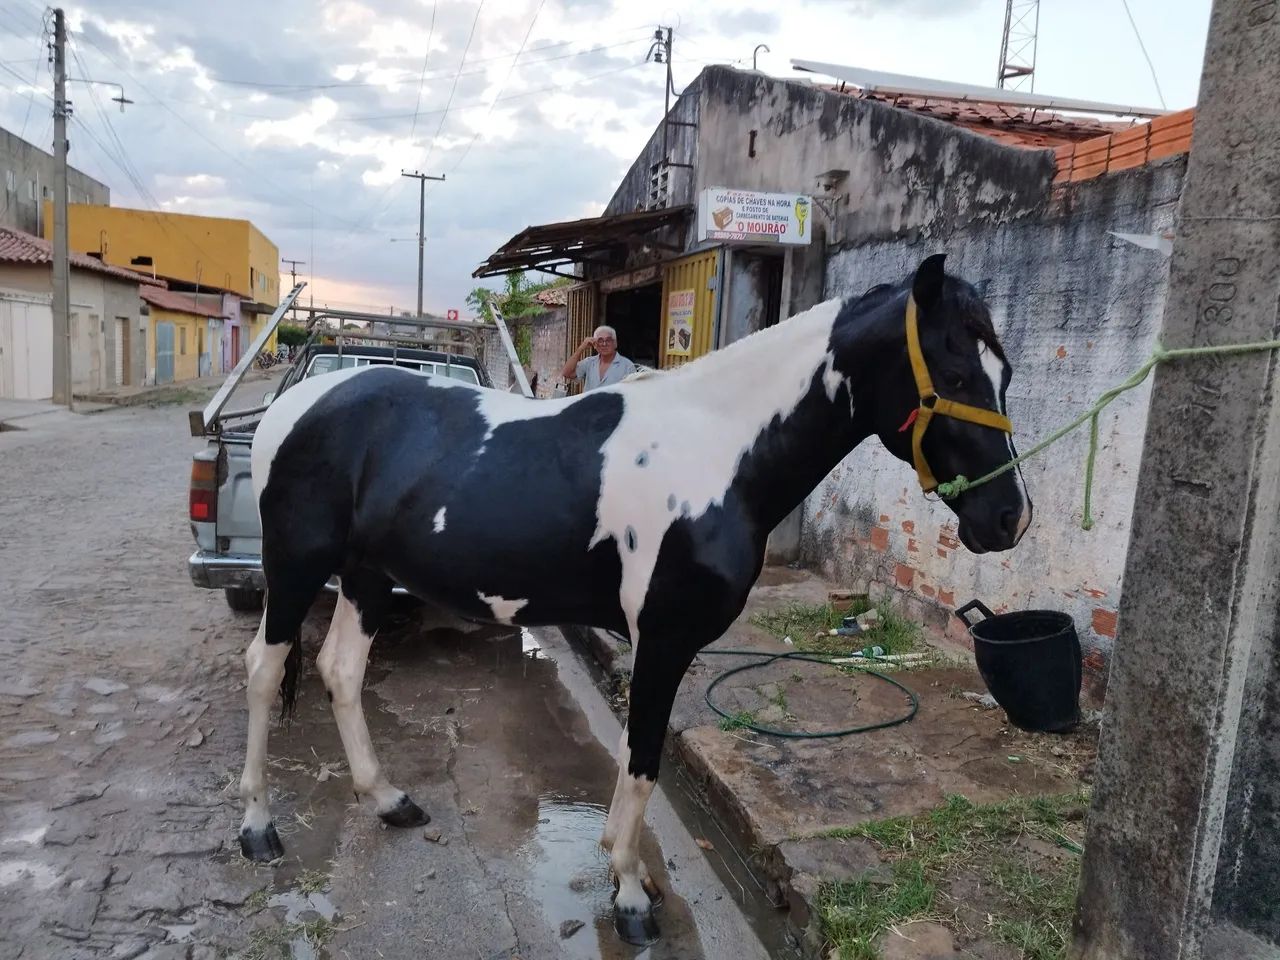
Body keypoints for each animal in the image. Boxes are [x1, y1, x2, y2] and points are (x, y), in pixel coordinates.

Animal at [235, 254, 1031, 945]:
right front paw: (628, 896)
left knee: (341, 672)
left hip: (367, 576)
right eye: (955, 370)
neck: (716, 454)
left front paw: (626, 870)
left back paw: (388, 801)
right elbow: (644, 758)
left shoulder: (656, 642)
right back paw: (257, 829)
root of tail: (295, 405)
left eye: (1005, 372)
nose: (1008, 518)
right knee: (266, 672)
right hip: (296, 566)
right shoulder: (664, 635)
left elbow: (632, 753)